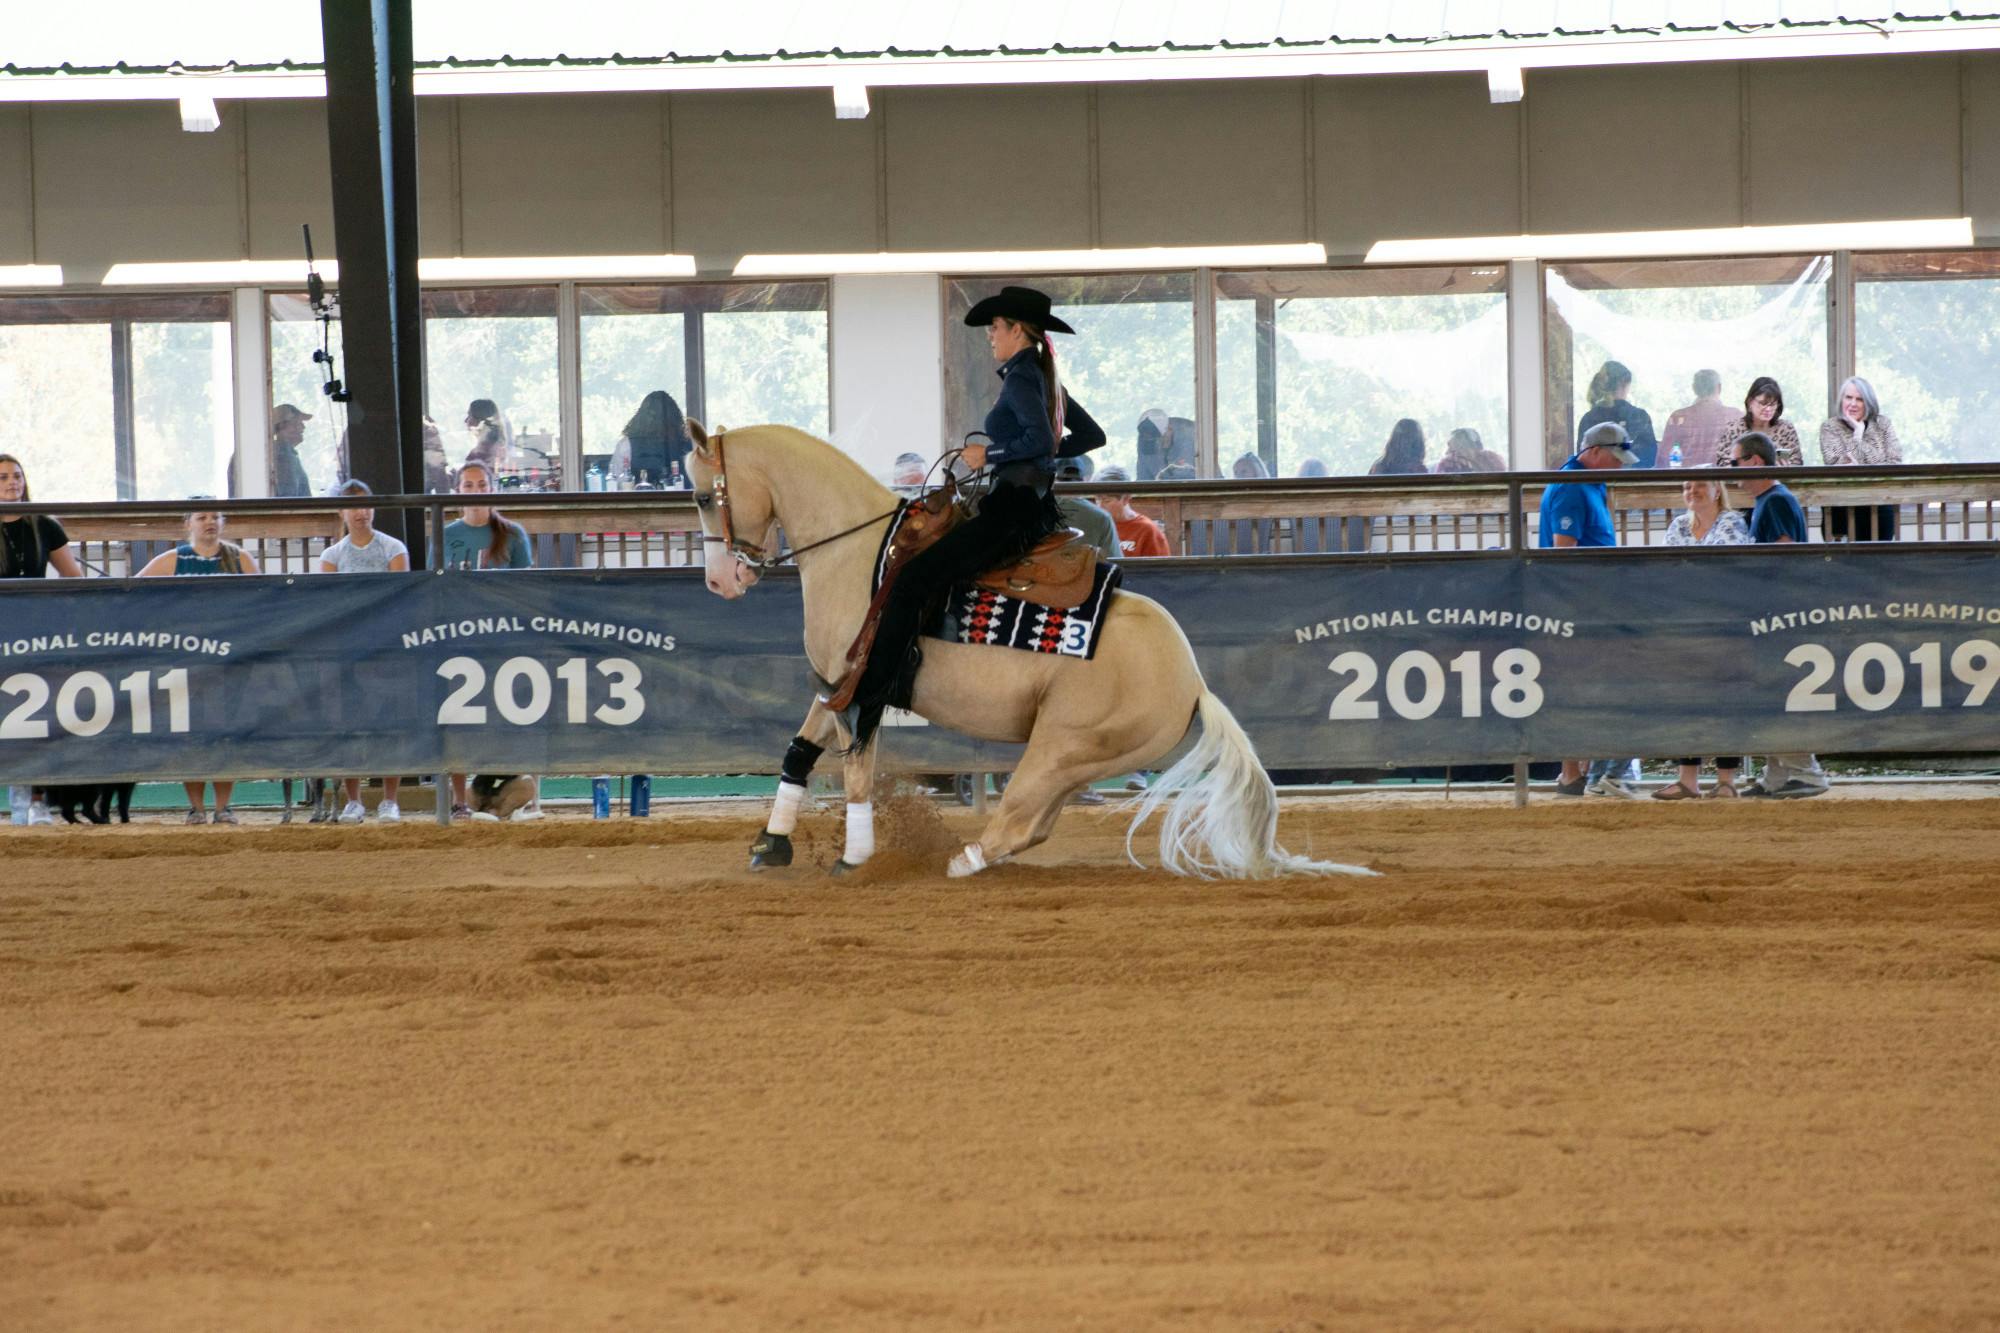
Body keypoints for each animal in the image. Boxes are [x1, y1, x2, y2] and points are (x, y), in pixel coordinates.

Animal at [680, 426, 1368, 876]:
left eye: (704, 495)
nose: (721, 581)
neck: (859, 553)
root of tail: (1194, 682)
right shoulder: (834, 684)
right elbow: (798, 751)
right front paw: (771, 844)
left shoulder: (863, 688)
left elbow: (856, 773)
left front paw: (855, 858)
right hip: (1074, 760)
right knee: (1036, 824)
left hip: (1058, 747)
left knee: (1018, 813)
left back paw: (965, 858)